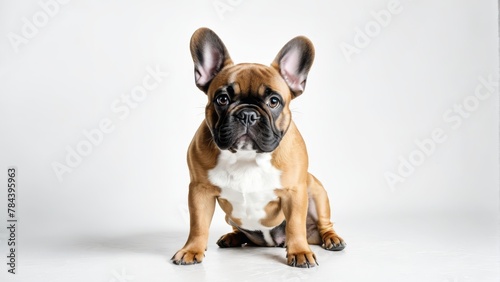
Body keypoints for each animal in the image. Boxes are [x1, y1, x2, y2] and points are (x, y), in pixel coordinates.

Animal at [172, 27, 344, 268]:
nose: (247, 114)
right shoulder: (200, 191)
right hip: (231, 217)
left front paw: (300, 252)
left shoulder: (295, 193)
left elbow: (295, 225)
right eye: (222, 99)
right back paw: (232, 237)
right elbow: (198, 224)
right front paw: (191, 250)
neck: (247, 156)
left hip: (316, 191)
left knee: (322, 224)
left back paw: (332, 239)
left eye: (274, 101)